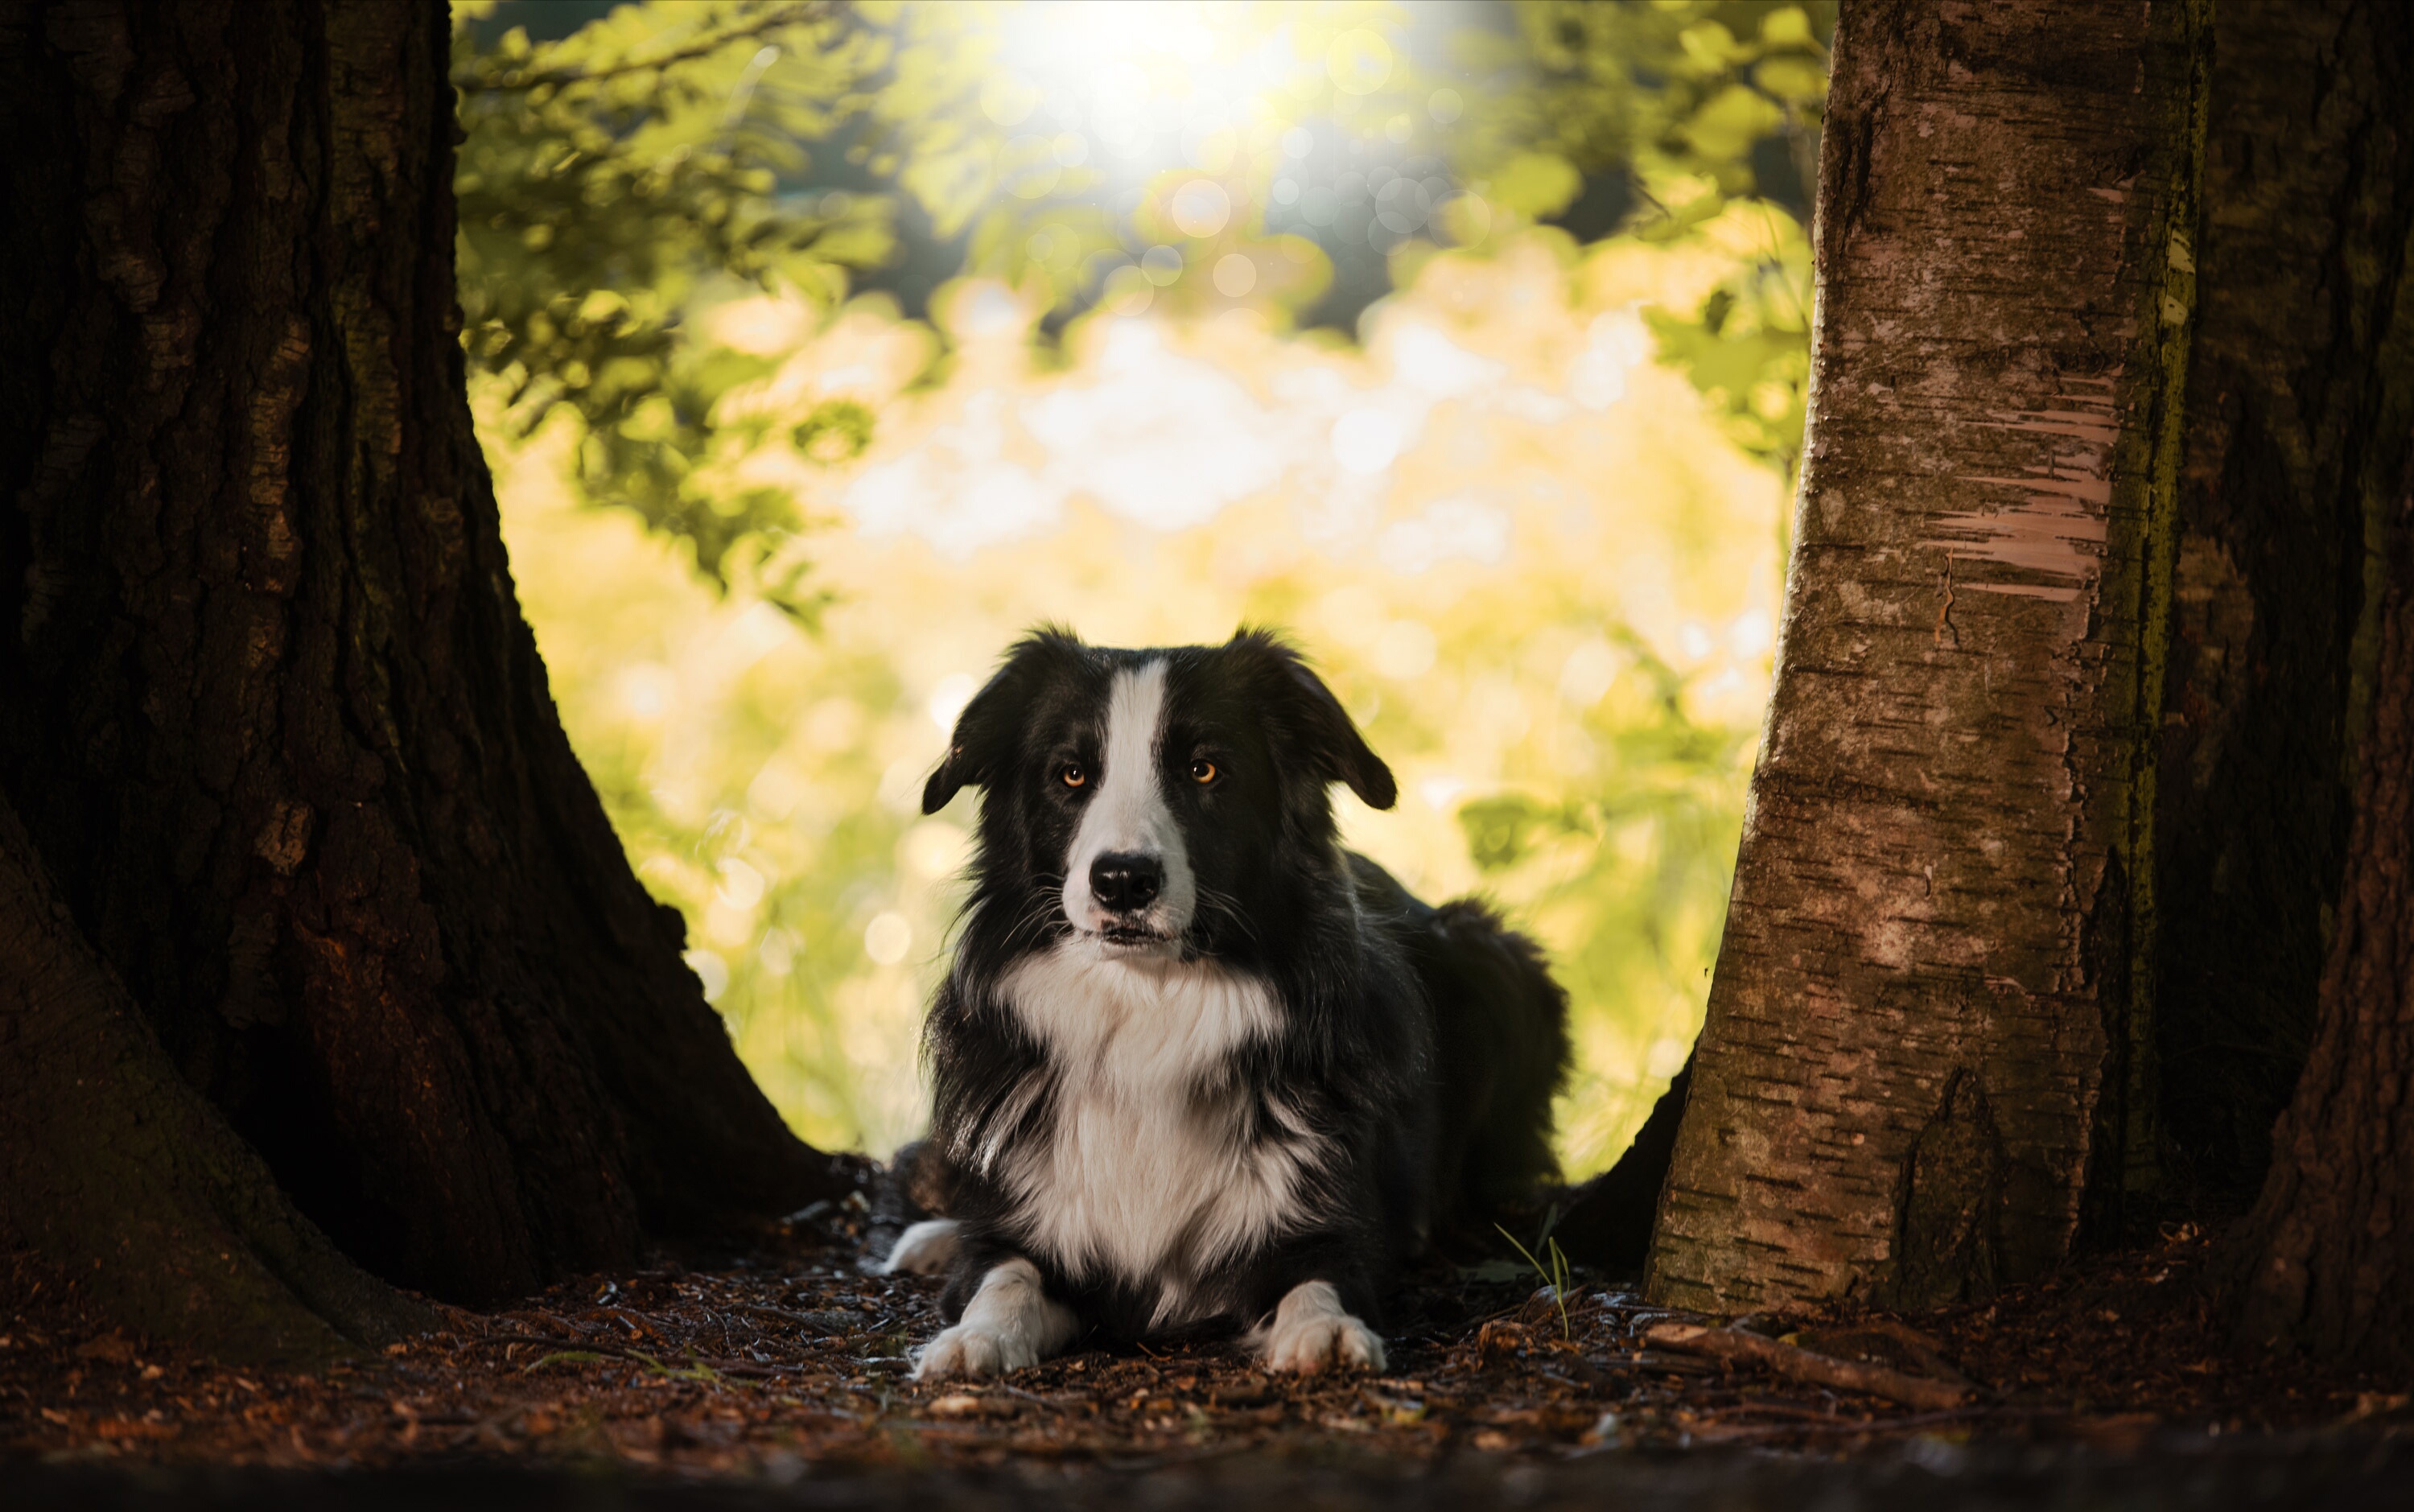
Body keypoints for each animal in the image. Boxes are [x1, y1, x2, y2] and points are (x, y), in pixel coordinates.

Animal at [888, 628, 1564, 1381]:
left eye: (1205, 770)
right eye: (1071, 775)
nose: (1123, 879)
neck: (1148, 1006)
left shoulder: (1323, 1220)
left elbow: (1320, 1279)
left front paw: (1327, 1331)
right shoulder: (1028, 1228)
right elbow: (1001, 1274)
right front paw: (973, 1336)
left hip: (1497, 959)